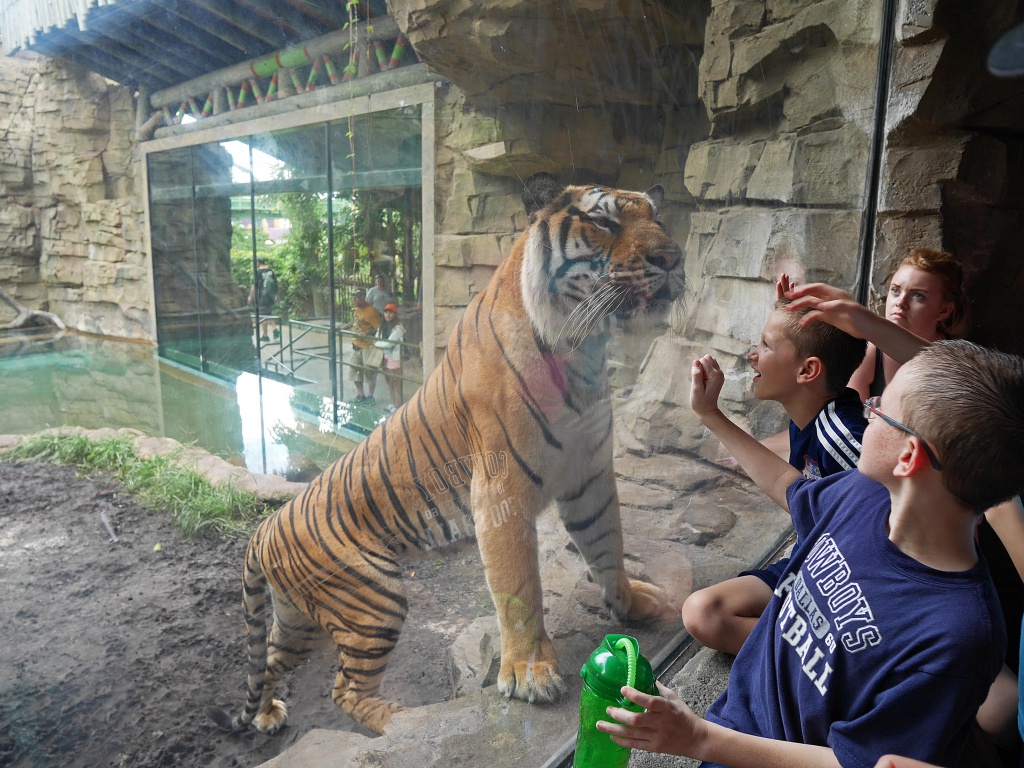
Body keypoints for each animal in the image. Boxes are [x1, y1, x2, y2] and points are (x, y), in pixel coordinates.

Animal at [205, 171, 688, 737]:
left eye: (658, 219)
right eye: (602, 221)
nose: (672, 257)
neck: (584, 346)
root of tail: (263, 528)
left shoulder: (589, 474)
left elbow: (608, 546)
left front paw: (632, 604)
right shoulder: (500, 489)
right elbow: (519, 586)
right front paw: (529, 672)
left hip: (302, 618)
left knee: (270, 661)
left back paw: (267, 714)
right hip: (373, 597)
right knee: (345, 688)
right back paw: (399, 722)